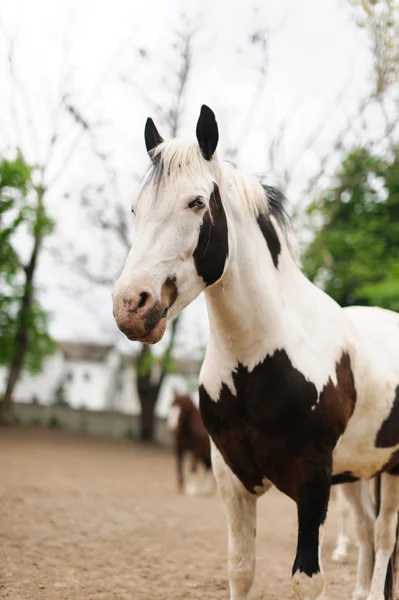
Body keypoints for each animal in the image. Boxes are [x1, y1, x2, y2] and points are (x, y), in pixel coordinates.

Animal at [111, 108, 399, 600]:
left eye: (196, 203)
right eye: (136, 207)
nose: (132, 305)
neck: (261, 361)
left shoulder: (313, 481)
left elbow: (307, 579)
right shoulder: (231, 479)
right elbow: (241, 569)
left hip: (392, 471)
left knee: (382, 536)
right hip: (357, 473)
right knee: (364, 531)